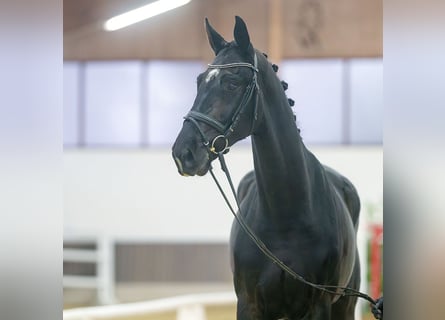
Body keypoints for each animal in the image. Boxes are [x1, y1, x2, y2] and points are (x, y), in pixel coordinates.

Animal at [172, 16, 360, 320]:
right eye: (199, 81)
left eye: (232, 82)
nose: (183, 153)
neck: (286, 215)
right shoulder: (249, 304)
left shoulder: (317, 307)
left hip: (345, 305)